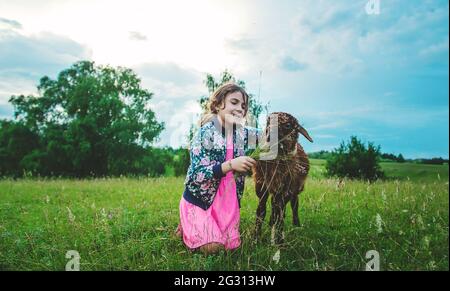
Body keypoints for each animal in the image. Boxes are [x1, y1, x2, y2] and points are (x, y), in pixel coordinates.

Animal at [253, 113, 312, 245]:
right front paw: (256, 238)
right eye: (268, 122)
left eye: (288, 125)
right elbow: (261, 211)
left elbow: (280, 215)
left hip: (292, 190)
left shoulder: (285, 190)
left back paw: (295, 224)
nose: (270, 135)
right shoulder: (262, 187)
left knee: (293, 206)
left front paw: (280, 241)